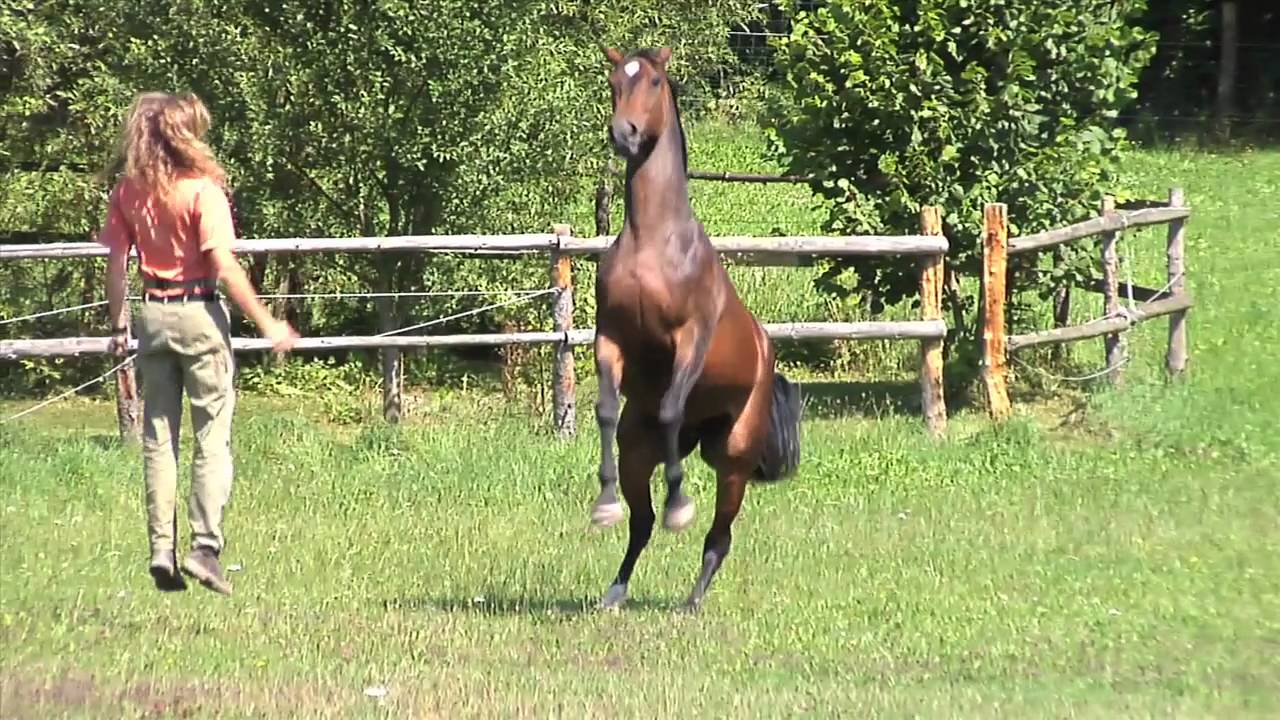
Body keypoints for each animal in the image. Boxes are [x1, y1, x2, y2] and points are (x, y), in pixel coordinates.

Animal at [588, 46, 803, 612]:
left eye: (653, 81)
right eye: (614, 81)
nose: (624, 133)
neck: (653, 245)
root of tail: (767, 351)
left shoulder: (689, 339)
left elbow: (669, 407)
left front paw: (680, 505)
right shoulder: (609, 338)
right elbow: (604, 410)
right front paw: (603, 505)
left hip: (732, 459)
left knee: (719, 536)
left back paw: (691, 601)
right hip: (639, 451)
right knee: (641, 524)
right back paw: (615, 591)